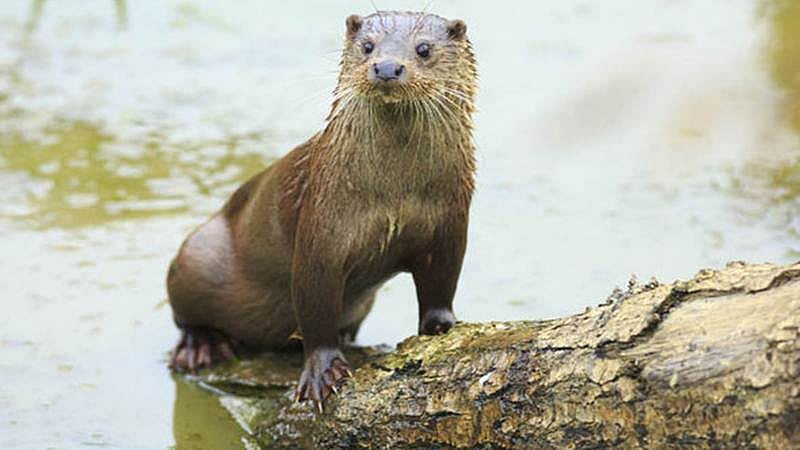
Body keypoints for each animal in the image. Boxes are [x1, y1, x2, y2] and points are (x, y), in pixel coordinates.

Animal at [166, 11, 477, 410]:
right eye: (367, 46)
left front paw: (441, 327)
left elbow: (441, 283)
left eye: (423, 49)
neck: (395, 196)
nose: (387, 67)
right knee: (184, 312)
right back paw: (201, 345)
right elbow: (315, 306)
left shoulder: (450, 224)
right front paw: (322, 372)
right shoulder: (321, 227)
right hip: (198, 253)